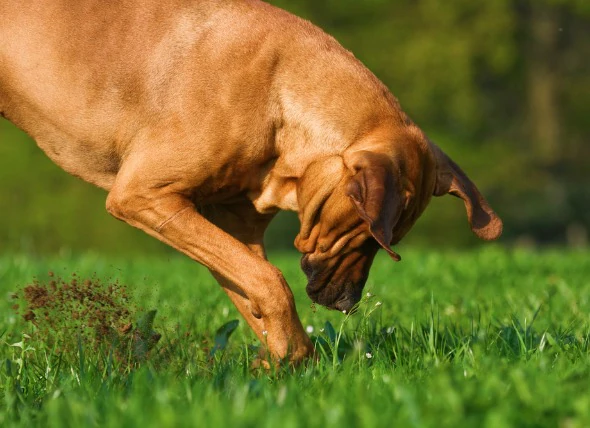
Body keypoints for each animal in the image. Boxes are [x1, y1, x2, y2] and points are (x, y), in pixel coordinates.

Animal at [0, 0, 504, 362]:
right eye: (369, 237)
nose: (347, 303)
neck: (281, 99)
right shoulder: (145, 196)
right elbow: (271, 281)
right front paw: (294, 358)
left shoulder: (233, 227)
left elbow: (252, 289)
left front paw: (287, 363)